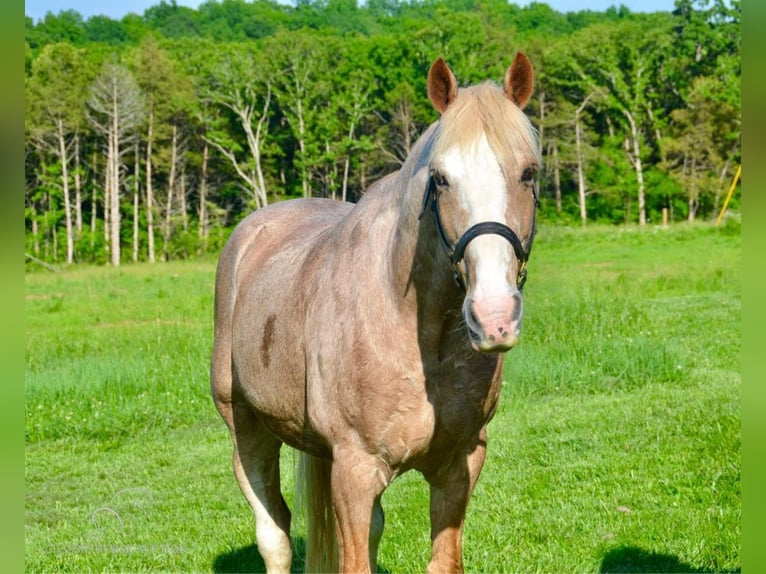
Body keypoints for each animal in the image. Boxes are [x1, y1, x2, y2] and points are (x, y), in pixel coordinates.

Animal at [212, 54, 540, 574]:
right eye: (440, 178)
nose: (494, 316)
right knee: (274, 533)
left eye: (528, 173)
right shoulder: (355, 470)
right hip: (246, 429)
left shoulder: (460, 464)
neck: (416, 334)